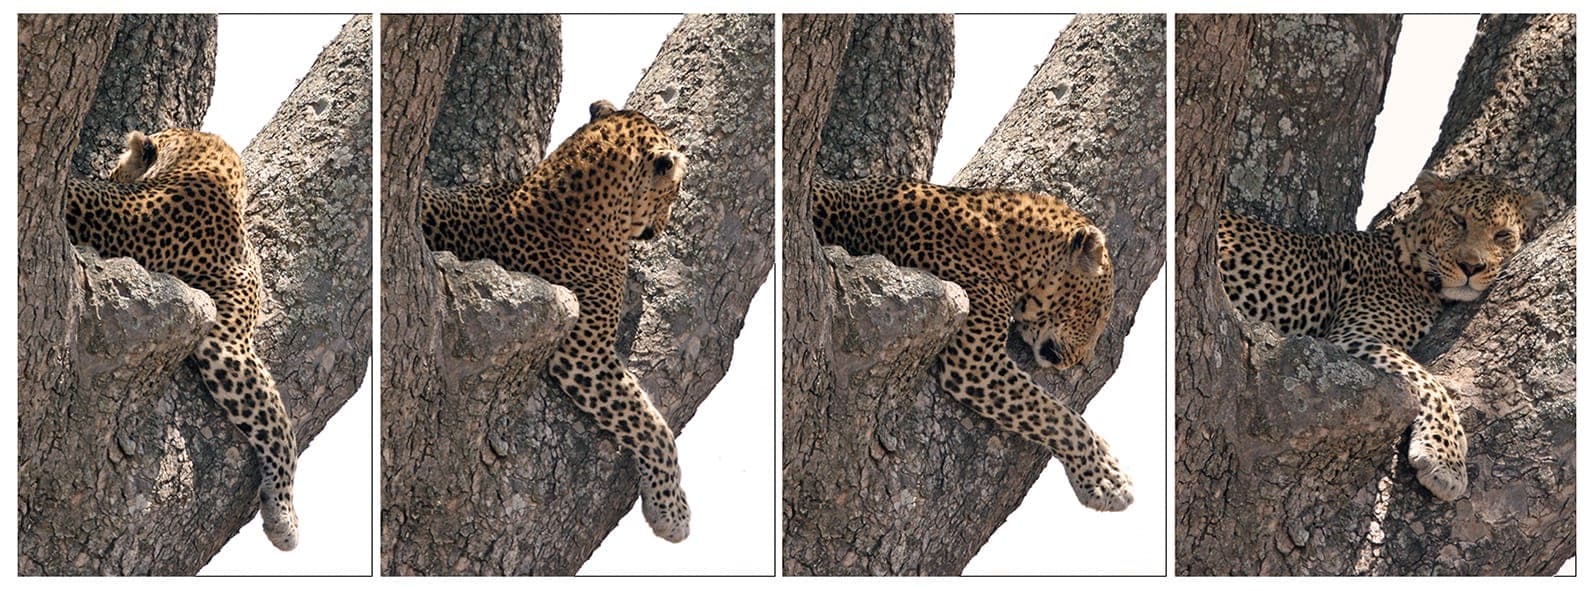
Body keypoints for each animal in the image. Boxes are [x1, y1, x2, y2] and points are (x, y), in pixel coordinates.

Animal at [65, 129, 300, 550]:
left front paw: (283, 513)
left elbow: (278, 427)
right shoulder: (229, 346)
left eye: (116, 168)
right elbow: (279, 428)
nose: (107, 176)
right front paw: (285, 516)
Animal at [1217, 170, 1545, 501]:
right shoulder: (1352, 337)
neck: (1410, 264)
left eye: (1502, 235)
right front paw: (1446, 462)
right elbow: (1430, 382)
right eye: (1458, 220)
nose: (1470, 266)